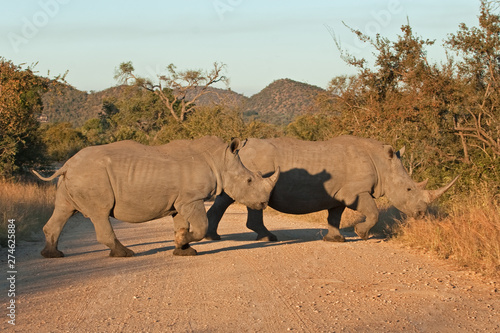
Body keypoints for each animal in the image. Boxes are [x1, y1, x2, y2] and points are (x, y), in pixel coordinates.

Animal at [33, 135, 280, 256]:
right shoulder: (192, 198)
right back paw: (125, 253)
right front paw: (184, 243)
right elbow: (200, 227)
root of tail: (66, 165)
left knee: (64, 210)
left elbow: (181, 224)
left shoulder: (180, 201)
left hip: (75, 176)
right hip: (92, 176)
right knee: (100, 214)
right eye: (249, 180)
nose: (263, 203)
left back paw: (53, 255)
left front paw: (184, 250)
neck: (220, 159)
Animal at [205, 135, 458, 241]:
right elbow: (373, 212)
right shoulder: (355, 192)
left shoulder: (339, 194)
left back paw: (214, 237)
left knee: (225, 198)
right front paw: (361, 234)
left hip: (241, 166)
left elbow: (334, 216)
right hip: (253, 165)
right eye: (408, 191)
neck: (382, 164)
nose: (421, 214)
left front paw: (336, 239)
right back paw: (269, 238)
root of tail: (240, 148)